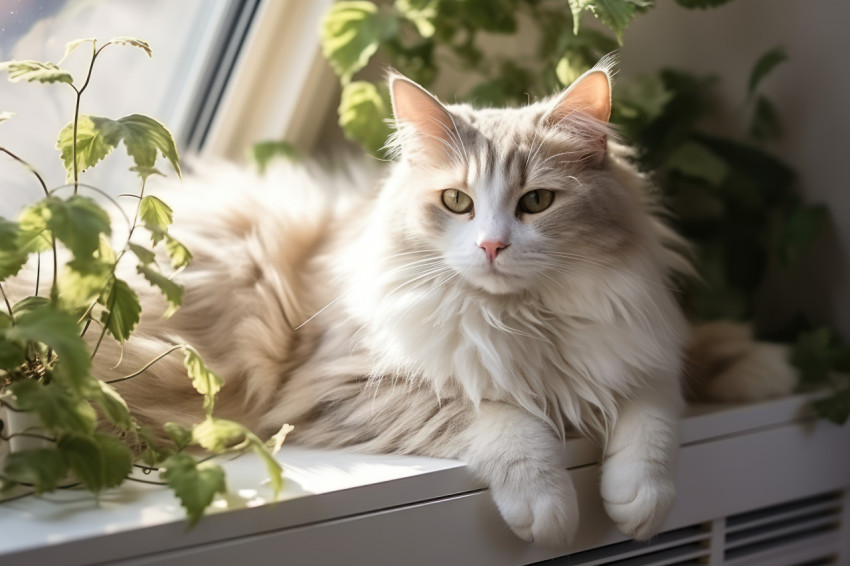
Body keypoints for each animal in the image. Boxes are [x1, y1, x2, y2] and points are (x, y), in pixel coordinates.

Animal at [36, 63, 792, 552]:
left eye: (537, 202)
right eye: (456, 201)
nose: (491, 245)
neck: (523, 322)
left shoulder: (635, 344)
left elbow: (653, 416)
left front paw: (639, 501)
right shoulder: (341, 385)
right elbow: (501, 416)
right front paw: (550, 509)